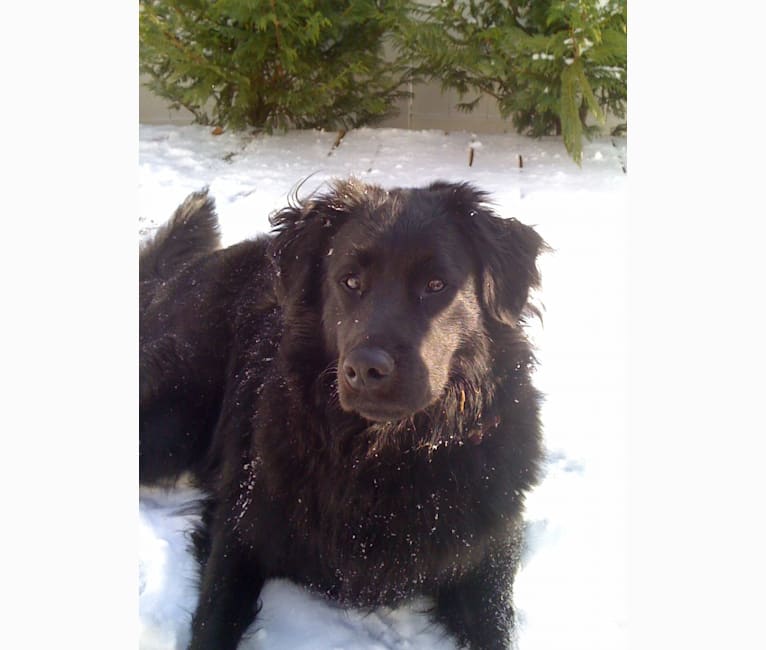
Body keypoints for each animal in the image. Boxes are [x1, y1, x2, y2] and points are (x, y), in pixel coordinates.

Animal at [141, 178, 548, 648]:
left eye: (436, 284)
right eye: (350, 281)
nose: (366, 369)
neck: (383, 455)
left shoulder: (489, 552)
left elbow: (496, 628)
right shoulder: (238, 526)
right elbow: (214, 618)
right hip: (171, 425)